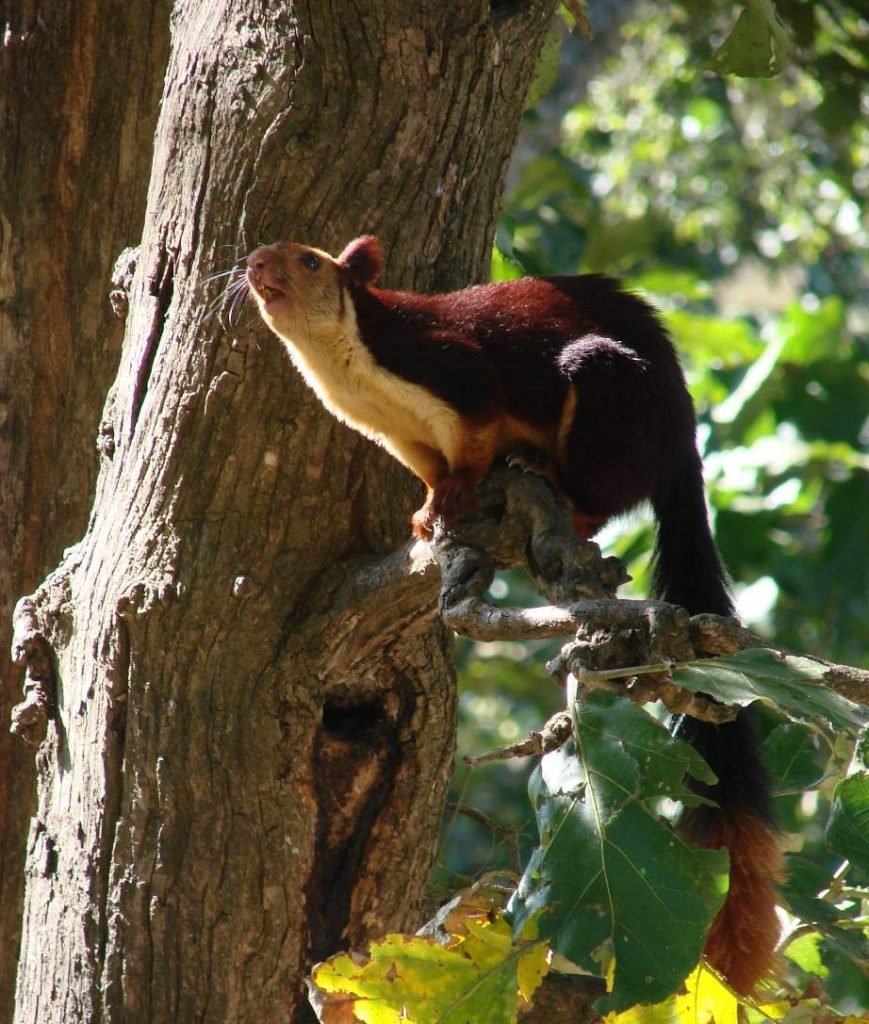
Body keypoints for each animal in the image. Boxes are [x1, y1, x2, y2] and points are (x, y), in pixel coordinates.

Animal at [242, 237, 777, 991]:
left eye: (313, 261)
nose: (255, 262)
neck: (350, 368)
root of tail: (681, 440)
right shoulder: (397, 434)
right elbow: (429, 468)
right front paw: (426, 511)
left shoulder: (453, 374)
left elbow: (474, 436)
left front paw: (457, 494)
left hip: (612, 393)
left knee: (603, 491)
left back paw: (558, 487)